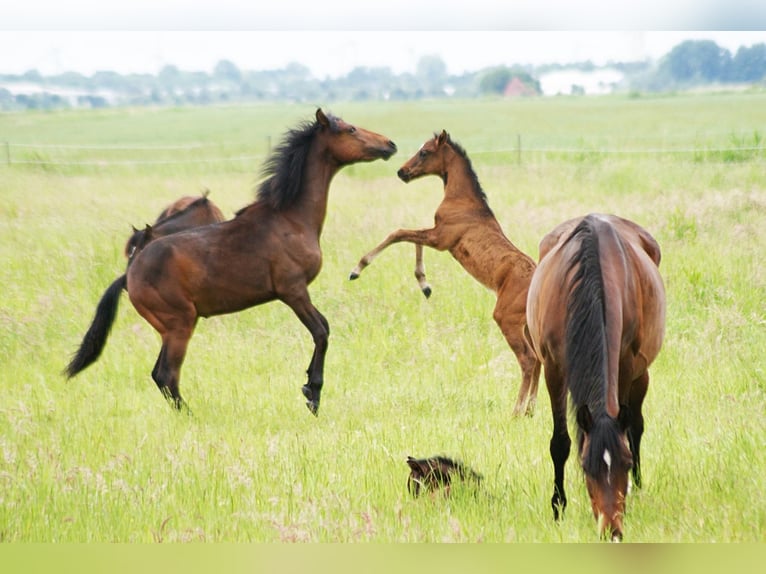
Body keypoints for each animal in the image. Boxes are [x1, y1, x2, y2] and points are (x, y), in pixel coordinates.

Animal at [528, 214, 664, 544]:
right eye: (587, 467)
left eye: (625, 464)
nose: (611, 531)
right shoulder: (553, 368)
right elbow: (560, 442)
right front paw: (558, 506)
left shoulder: (625, 364)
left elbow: (627, 431)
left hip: (641, 375)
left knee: (636, 426)